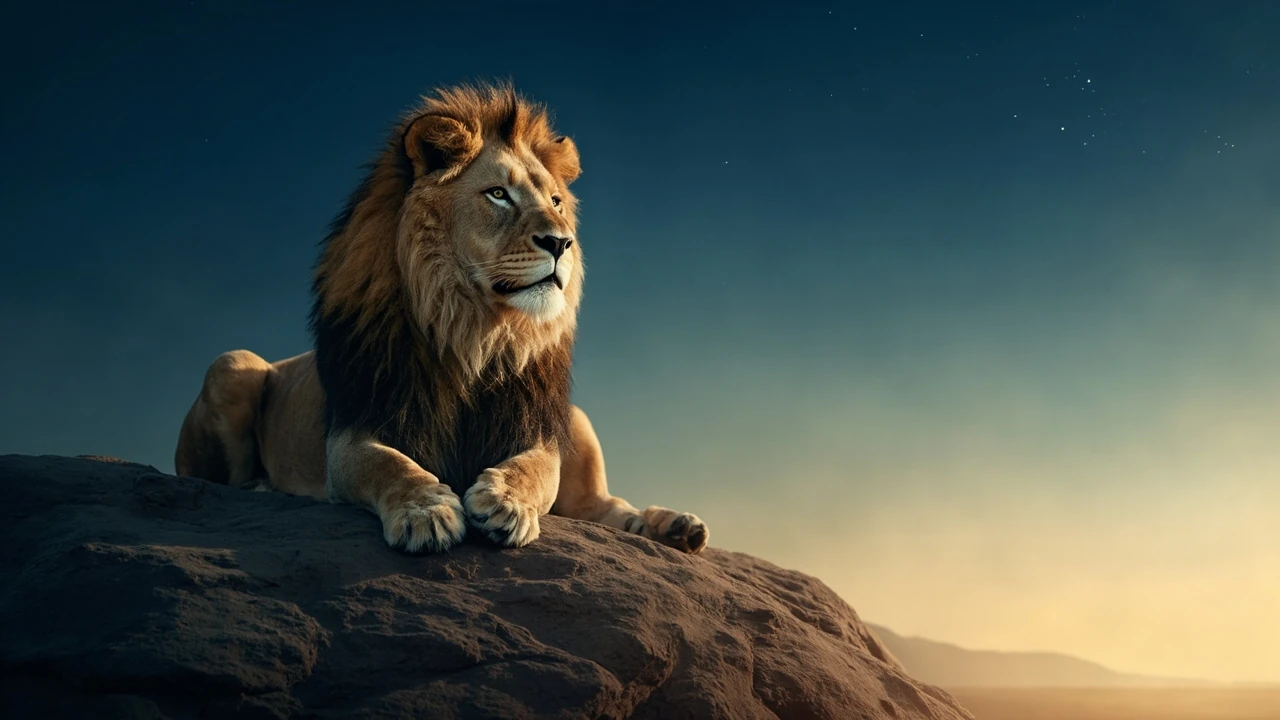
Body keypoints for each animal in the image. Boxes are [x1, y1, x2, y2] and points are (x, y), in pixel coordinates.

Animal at [174, 83, 708, 555]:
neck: (473, 330)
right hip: (232, 363)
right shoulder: (349, 438)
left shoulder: (535, 433)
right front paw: (425, 513)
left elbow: (534, 471)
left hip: (576, 420)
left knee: (609, 507)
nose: (562, 243)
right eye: (498, 195)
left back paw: (676, 528)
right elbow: (389, 465)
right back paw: (263, 489)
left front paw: (506, 501)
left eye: (556, 202)